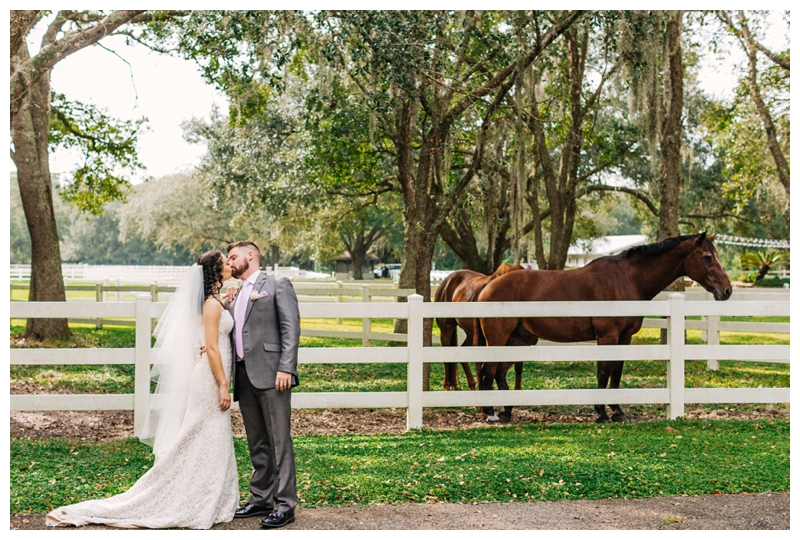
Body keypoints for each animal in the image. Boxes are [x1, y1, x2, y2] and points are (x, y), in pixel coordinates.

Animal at [432, 262, 532, 392]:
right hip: (446, 329)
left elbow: (518, 367)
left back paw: (472, 385)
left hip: (471, 334)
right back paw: (447, 386)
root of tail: (447, 280)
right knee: (446, 359)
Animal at [476, 234, 732, 424]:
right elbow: (603, 372)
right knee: (488, 371)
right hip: (498, 339)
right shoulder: (607, 337)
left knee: (499, 372)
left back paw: (507, 411)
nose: (727, 290)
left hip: (518, 340)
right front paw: (601, 413)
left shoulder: (624, 338)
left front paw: (617, 411)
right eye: (708, 257)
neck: (626, 279)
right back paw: (490, 413)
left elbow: (616, 373)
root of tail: (489, 284)